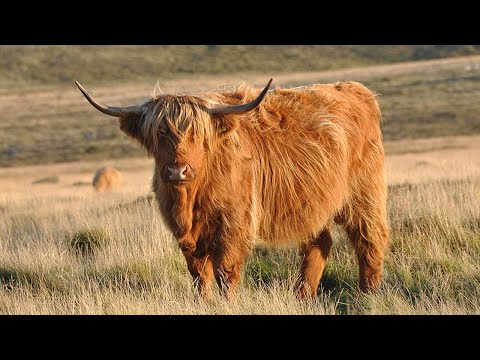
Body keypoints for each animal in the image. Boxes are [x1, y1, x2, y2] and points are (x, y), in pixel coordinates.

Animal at [76, 79, 390, 300]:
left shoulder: (234, 225)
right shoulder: (185, 235)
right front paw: (202, 303)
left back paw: (367, 296)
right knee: (318, 244)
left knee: (370, 240)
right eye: (161, 132)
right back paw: (302, 297)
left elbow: (225, 273)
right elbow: (198, 275)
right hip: (312, 202)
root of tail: (357, 90)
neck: (190, 201)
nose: (177, 171)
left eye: (196, 133)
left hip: (364, 195)